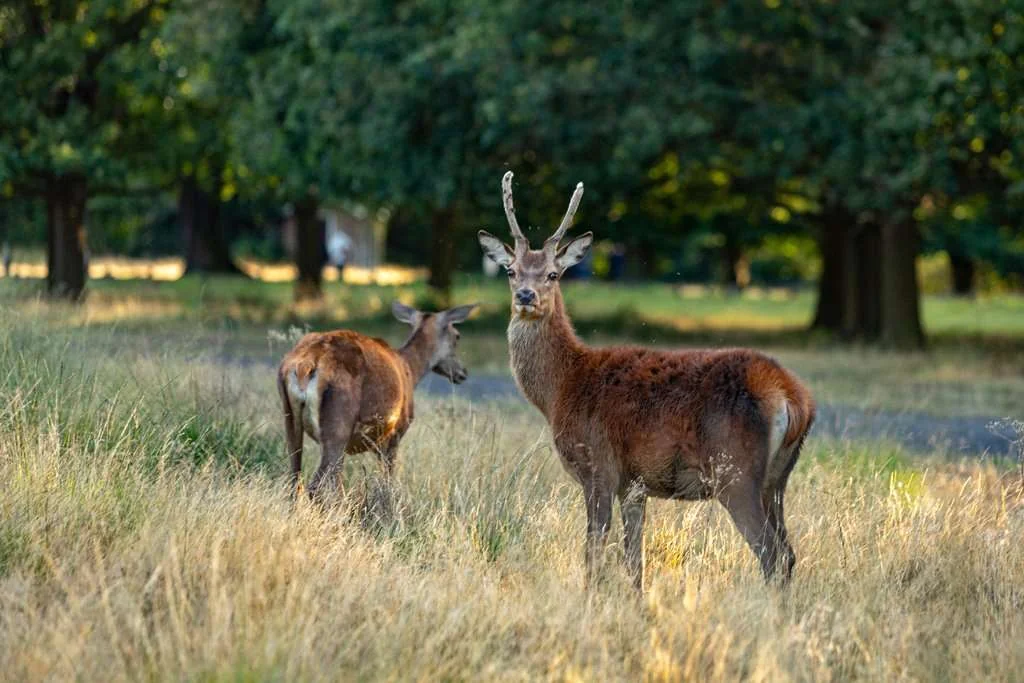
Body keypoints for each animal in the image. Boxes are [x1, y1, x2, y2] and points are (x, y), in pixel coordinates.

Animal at [278, 301, 477, 501]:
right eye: (457, 336)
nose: (463, 372)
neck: (410, 370)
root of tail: (305, 364)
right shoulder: (396, 431)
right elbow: (387, 479)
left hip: (290, 418)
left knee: (295, 480)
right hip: (338, 421)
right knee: (317, 484)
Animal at [477, 172, 815, 591]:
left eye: (553, 274)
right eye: (511, 271)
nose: (525, 295)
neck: (562, 389)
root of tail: (793, 398)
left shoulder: (598, 465)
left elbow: (593, 553)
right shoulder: (634, 486)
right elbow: (633, 561)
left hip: (735, 470)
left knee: (772, 554)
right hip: (777, 478)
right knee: (788, 553)